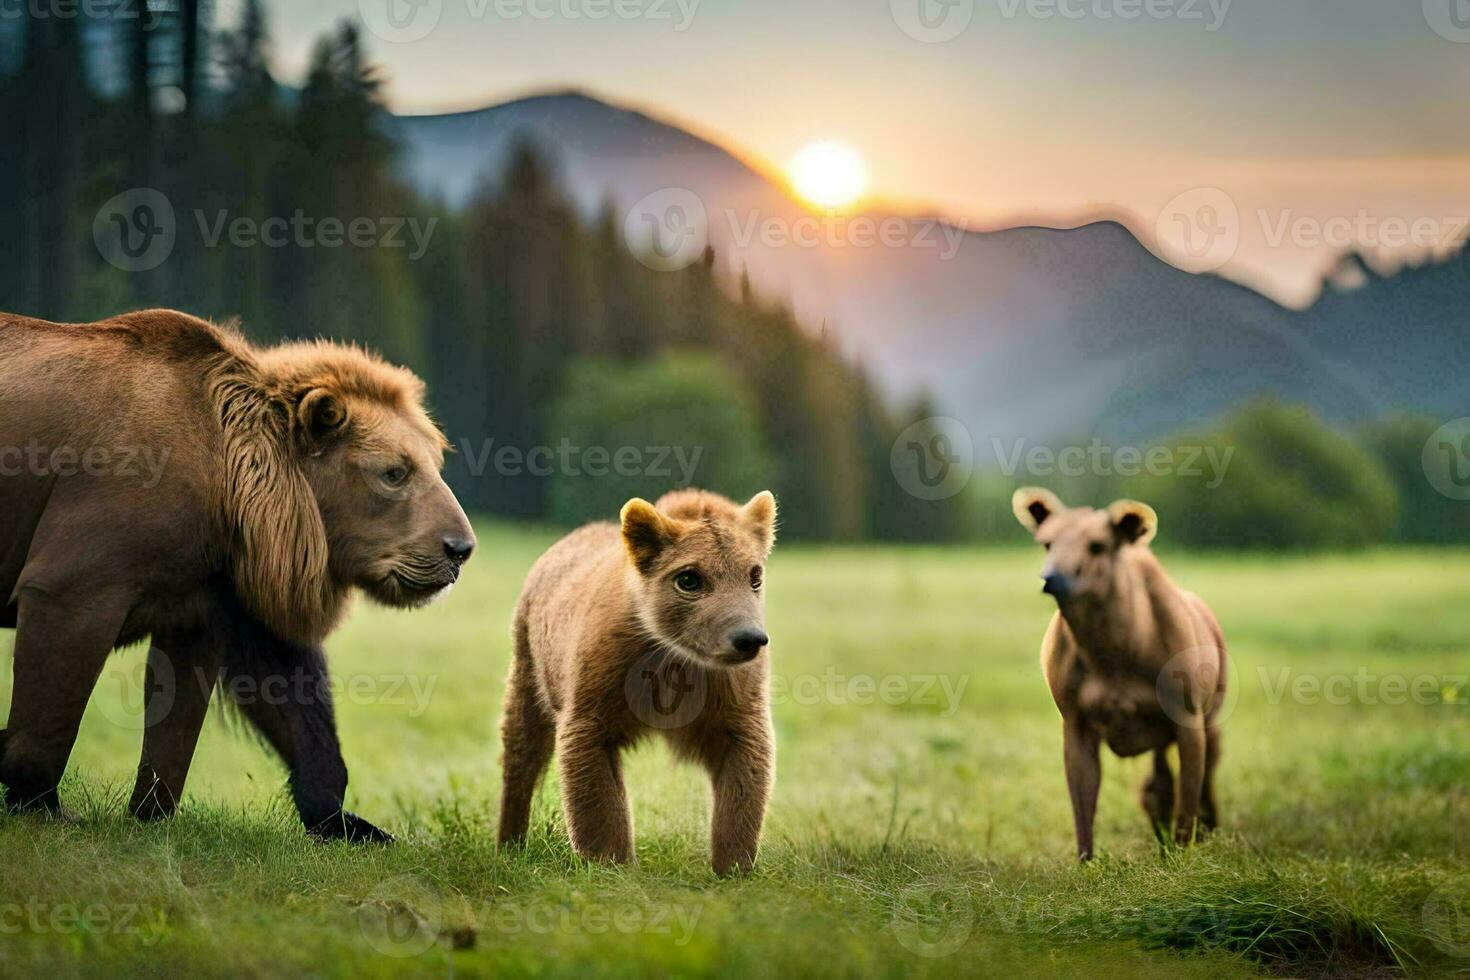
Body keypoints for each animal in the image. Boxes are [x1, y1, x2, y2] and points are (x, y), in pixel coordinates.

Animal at [0, 308, 473, 846]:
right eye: (395, 472)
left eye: (433, 464)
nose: (461, 549)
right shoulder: (81, 576)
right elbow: (49, 717)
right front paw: (40, 803)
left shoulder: (218, 598)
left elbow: (272, 712)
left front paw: (348, 823)